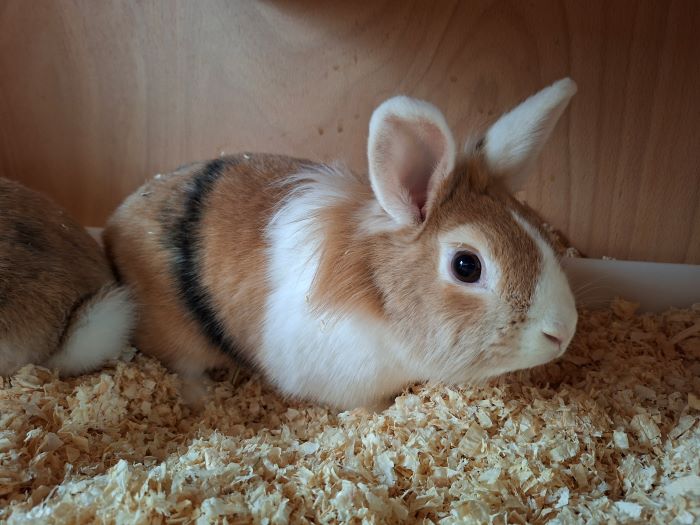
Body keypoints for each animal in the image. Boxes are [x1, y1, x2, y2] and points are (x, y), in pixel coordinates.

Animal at [103, 78, 579, 410]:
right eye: (466, 266)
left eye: (538, 227)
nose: (563, 331)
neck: (380, 296)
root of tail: (114, 223)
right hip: (176, 336)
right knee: (182, 366)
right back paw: (204, 398)